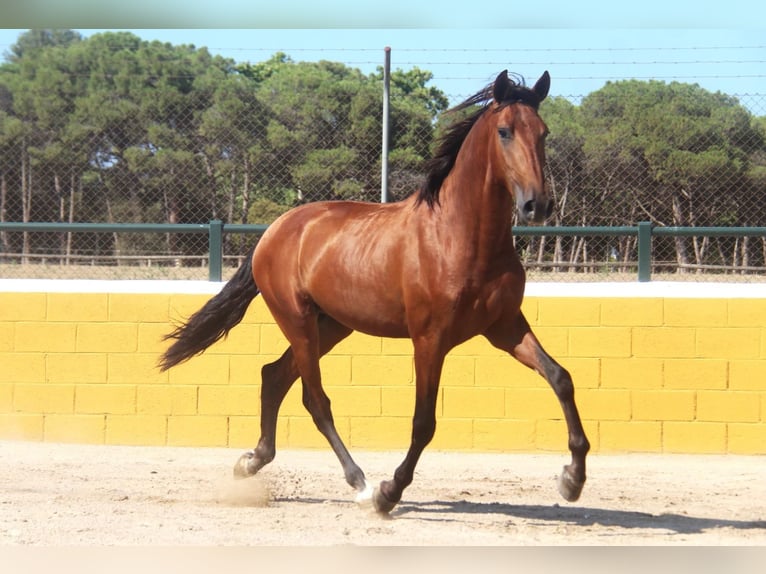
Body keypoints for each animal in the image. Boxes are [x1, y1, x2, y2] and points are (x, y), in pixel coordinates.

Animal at [160, 70, 592, 516]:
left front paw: (572, 479)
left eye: (543, 132)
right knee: (315, 400)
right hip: (298, 322)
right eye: (505, 131)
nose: (537, 205)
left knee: (274, 376)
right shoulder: (430, 339)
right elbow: (423, 422)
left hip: (330, 326)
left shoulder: (504, 327)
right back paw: (361, 484)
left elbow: (561, 378)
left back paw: (251, 461)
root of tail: (275, 230)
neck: (459, 237)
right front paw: (389, 492)